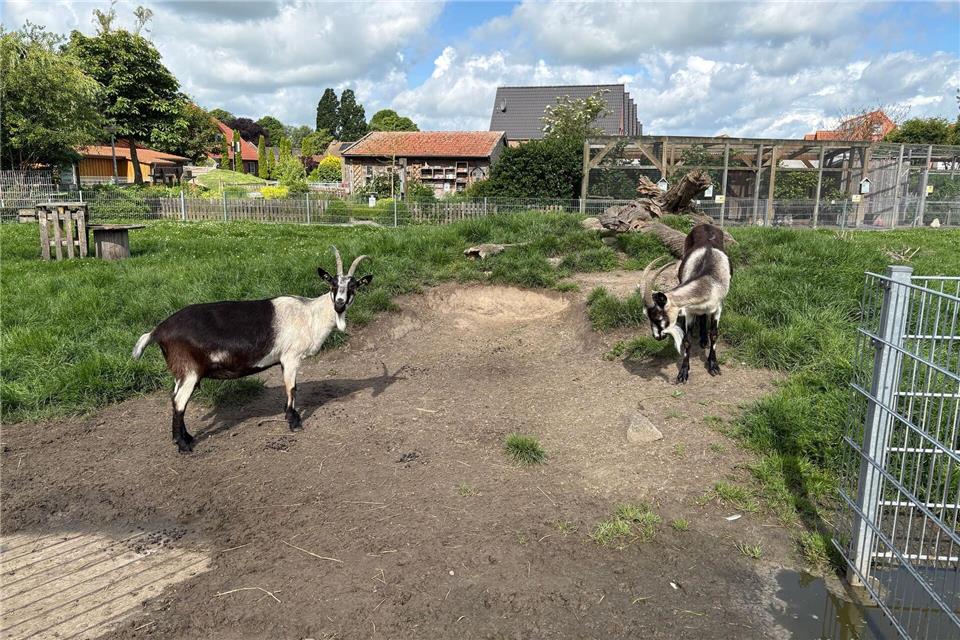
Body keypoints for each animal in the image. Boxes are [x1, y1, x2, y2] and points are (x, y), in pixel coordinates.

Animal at [132, 247, 372, 453]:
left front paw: (289, 416)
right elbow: (292, 388)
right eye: (333, 284)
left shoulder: (284, 359)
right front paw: (294, 422)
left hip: (179, 372)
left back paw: (185, 438)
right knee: (179, 401)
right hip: (189, 370)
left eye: (353, 287)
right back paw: (183, 445)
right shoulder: (291, 357)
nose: (339, 304)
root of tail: (158, 330)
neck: (309, 314)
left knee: (174, 397)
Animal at [638, 224, 731, 384]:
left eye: (659, 317)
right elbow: (687, 340)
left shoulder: (718, 307)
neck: (708, 278)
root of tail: (705, 224)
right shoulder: (689, 311)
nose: (657, 337)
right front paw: (683, 372)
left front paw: (713, 365)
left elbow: (714, 334)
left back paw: (704, 341)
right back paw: (702, 339)